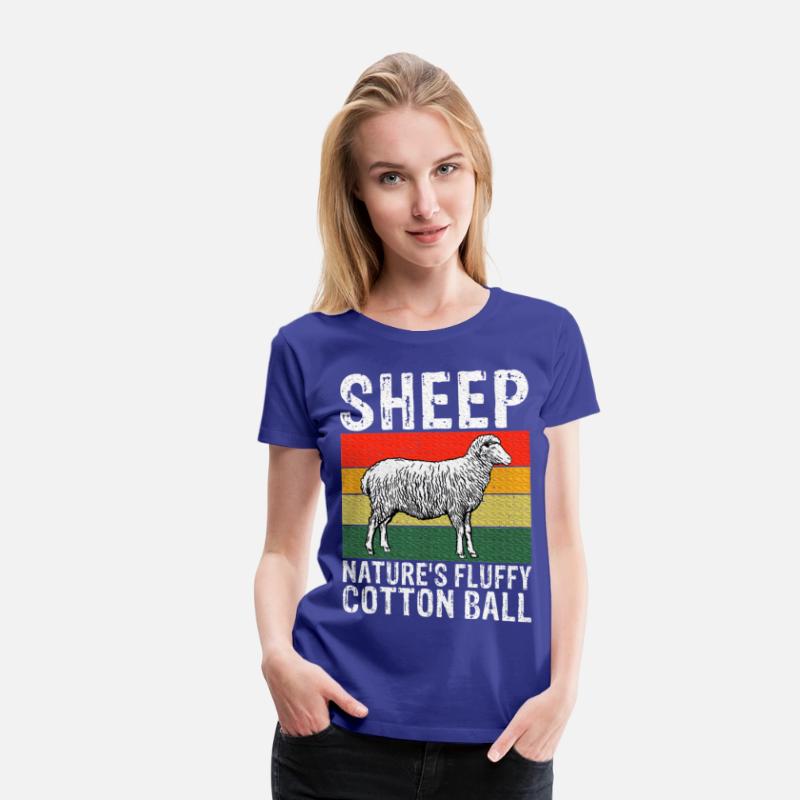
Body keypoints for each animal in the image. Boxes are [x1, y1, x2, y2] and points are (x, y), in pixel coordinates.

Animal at [360, 433, 512, 559]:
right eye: (492, 448)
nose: (509, 459)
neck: (470, 469)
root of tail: (370, 472)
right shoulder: (456, 509)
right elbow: (461, 530)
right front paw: (461, 552)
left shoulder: (467, 510)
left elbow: (468, 530)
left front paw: (472, 552)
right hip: (382, 503)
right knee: (372, 522)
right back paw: (369, 548)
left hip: (389, 505)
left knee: (383, 524)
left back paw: (385, 547)